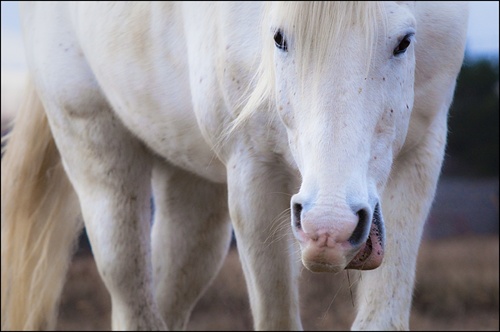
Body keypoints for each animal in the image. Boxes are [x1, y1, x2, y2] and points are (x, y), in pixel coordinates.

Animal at [0, 1, 468, 330]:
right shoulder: (254, 177)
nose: (329, 230)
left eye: (404, 41)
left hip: (192, 194)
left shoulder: (418, 157)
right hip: (97, 151)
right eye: (278, 38)